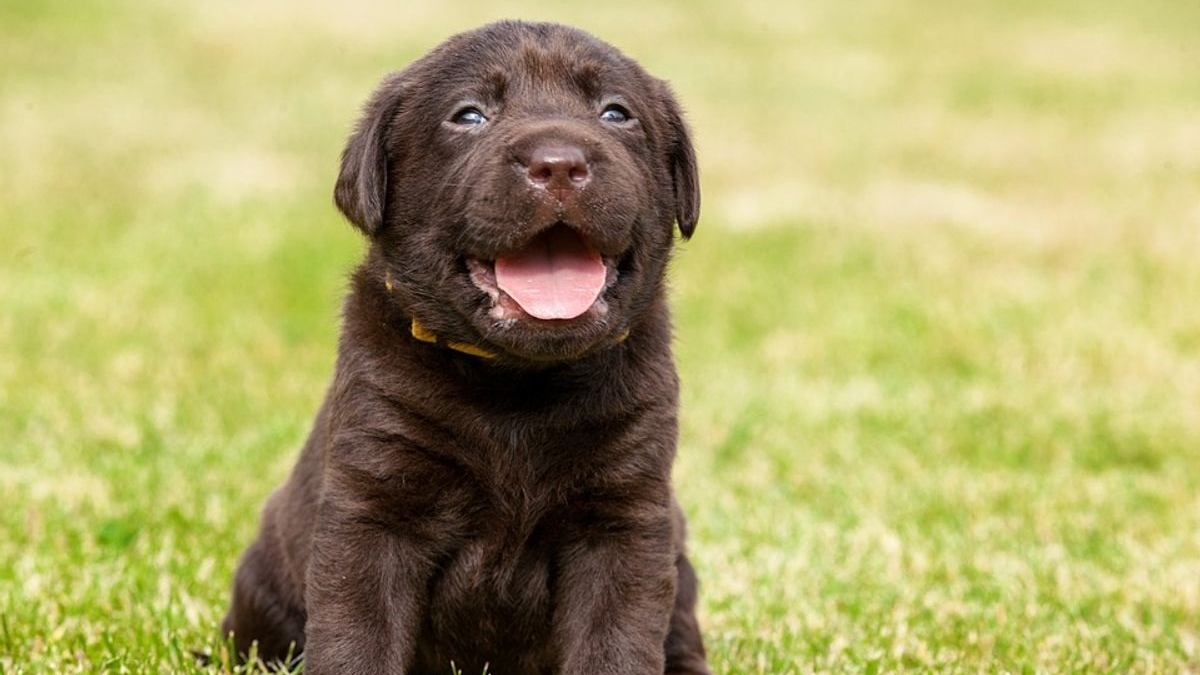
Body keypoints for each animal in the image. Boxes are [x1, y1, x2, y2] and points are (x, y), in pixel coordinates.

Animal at [222, 21, 705, 672]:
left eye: (615, 113)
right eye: (470, 115)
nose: (559, 165)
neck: (518, 385)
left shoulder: (624, 519)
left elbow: (617, 643)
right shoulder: (374, 507)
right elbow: (356, 636)